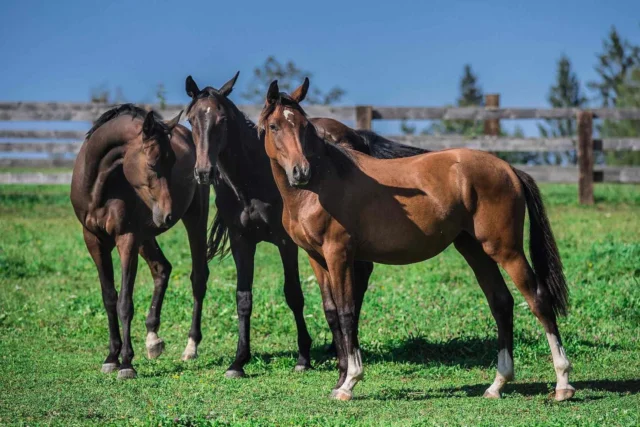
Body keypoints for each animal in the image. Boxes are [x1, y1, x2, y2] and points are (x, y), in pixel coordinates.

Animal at [70, 105, 210, 380]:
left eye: (173, 161)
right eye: (154, 163)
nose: (167, 215)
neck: (98, 187)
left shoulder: (126, 239)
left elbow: (125, 302)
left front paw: (126, 363)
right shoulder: (94, 241)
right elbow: (109, 297)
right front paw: (111, 357)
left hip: (194, 220)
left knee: (198, 278)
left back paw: (191, 347)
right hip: (146, 235)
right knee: (162, 269)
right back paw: (153, 340)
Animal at [182, 72, 428, 378]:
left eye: (222, 119)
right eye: (191, 119)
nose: (204, 171)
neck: (252, 177)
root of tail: (356, 134)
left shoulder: (286, 242)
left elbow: (294, 294)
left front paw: (303, 356)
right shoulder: (242, 241)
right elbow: (243, 298)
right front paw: (239, 361)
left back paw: (338, 346)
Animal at [258, 78, 576, 402]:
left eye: (304, 126)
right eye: (274, 126)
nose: (301, 172)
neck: (320, 186)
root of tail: (509, 169)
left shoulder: (339, 254)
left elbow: (348, 312)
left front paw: (350, 382)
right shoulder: (316, 258)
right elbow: (332, 312)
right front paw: (340, 379)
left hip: (506, 250)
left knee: (538, 300)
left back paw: (563, 384)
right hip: (474, 249)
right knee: (501, 303)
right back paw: (497, 384)